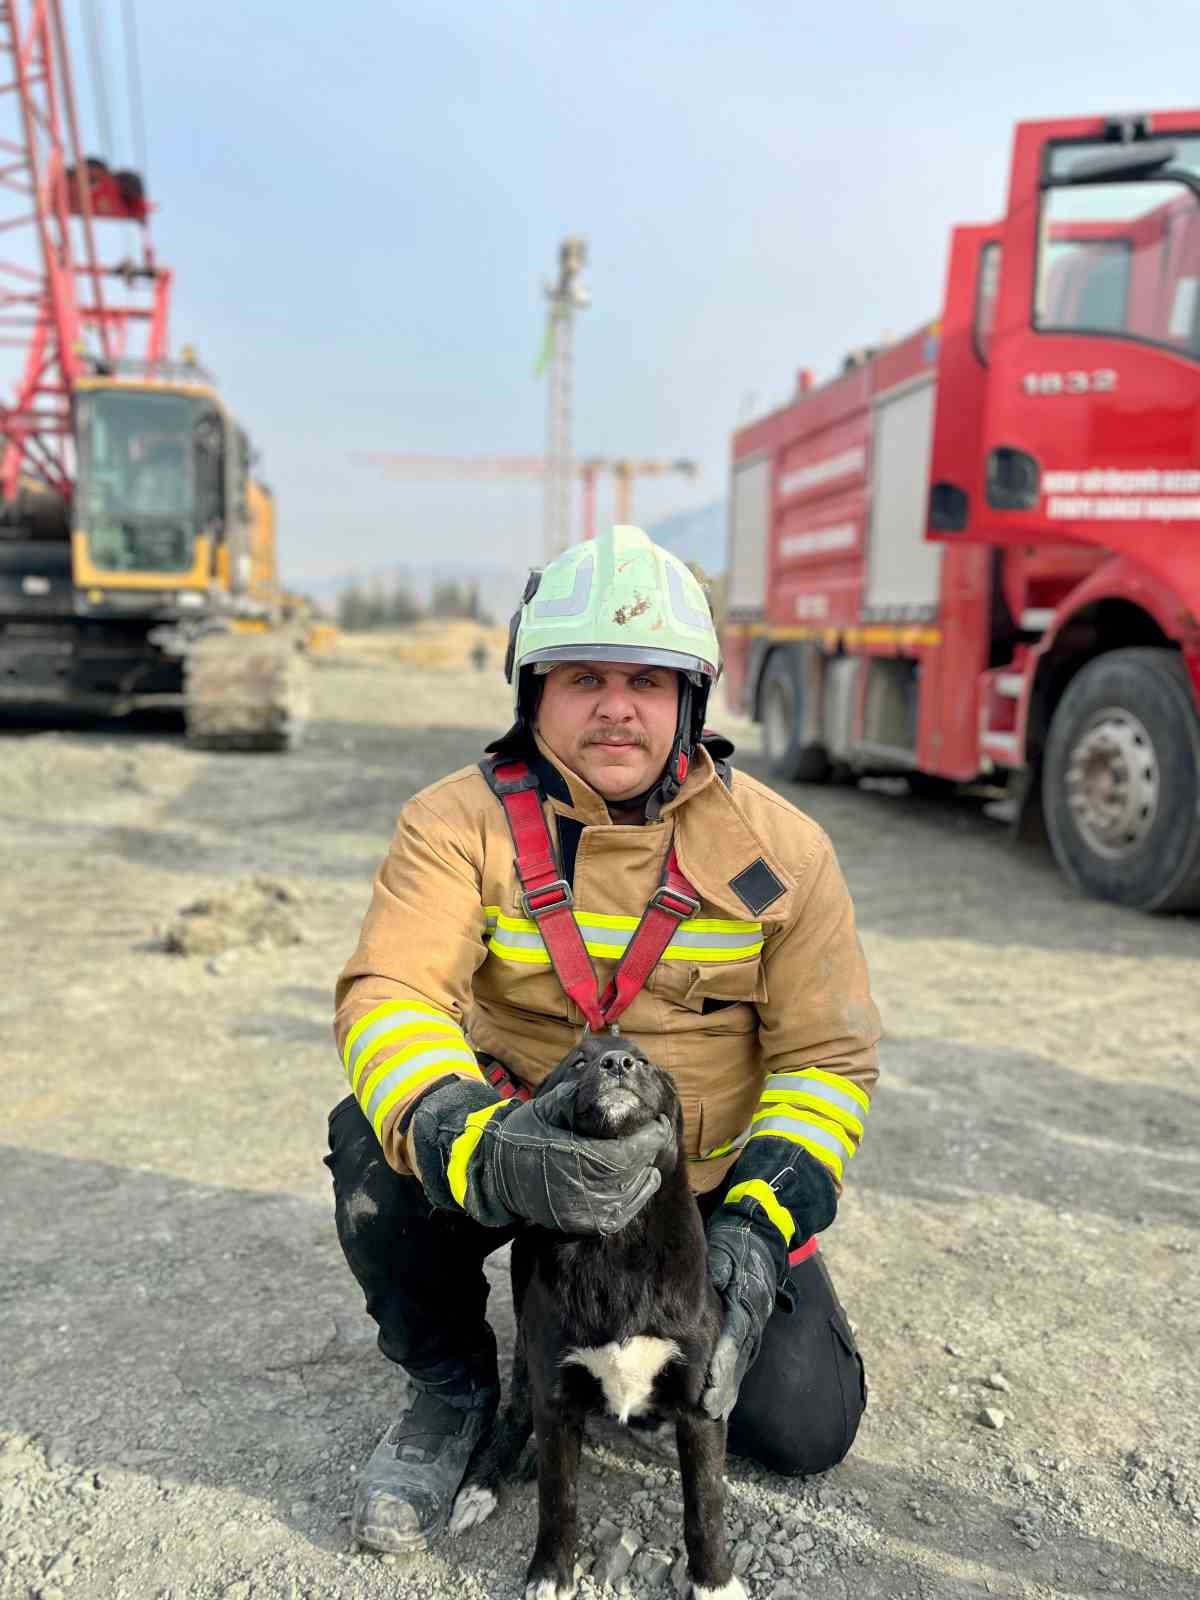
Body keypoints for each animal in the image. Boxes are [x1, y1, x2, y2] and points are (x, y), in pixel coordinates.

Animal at [451, 1036, 742, 1600]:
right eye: (579, 1062)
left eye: (645, 1060)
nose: (618, 1063)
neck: (617, 1243)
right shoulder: (557, 1397)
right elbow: (558, 1499)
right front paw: (550, 1573)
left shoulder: (701, 1403)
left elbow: (706, 1506)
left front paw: (714, 1582)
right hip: (529, 1356)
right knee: (516, 1411)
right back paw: (483, 1482)